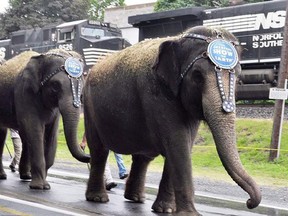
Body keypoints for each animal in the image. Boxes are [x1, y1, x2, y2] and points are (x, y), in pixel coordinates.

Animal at [0, 49, 90, 189]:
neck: (42, 57)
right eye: (55, 86)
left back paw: (26, 176)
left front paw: (46, 185)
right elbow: (35, 129)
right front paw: (39, 187)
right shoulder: (24, 93)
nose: (89, 155)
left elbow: (51, 133)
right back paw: (4, 176)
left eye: (81, 83)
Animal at [82, 26, 262, 215]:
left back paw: (136, 198)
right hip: (89, 106)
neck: (179, 38)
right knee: (99, 151)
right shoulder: (157, 94)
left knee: (142, 157)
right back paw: (98, 198)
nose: (249, 203)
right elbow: (178, 145)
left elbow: (182, 146)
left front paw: (166, 210)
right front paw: (189, 214)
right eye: (197, 76)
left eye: (239, 77)